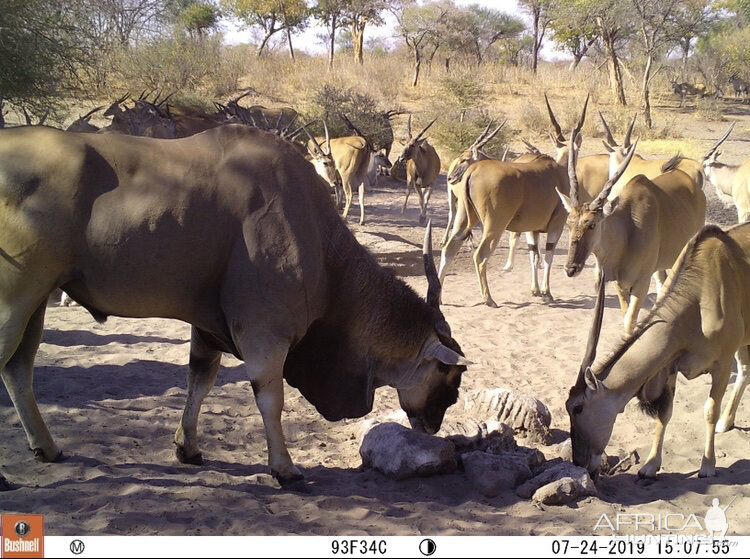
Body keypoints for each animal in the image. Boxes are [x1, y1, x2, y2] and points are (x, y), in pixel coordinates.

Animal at [0, 123, 470, 490]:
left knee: (18, 368)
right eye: (450, 373)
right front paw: (285, 469)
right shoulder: (265, 332)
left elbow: (200, 380)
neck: (319, 241)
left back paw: (47, 447)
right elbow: (271, 399)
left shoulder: (207, 329)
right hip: (16, 297)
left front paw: (188, 448)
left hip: (36, 300)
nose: (433, 425)